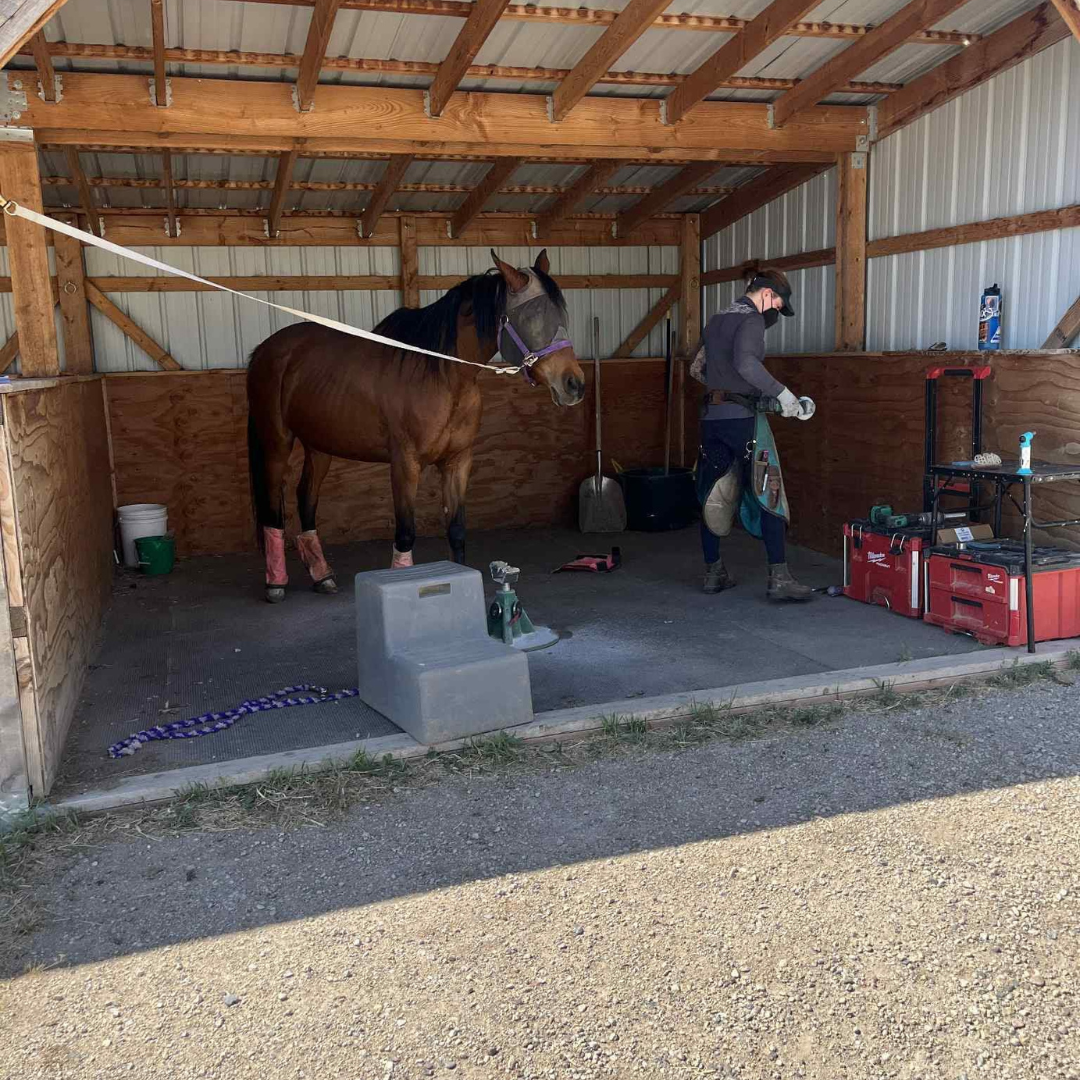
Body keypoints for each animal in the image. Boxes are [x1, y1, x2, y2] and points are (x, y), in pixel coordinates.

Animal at [246, 249, 585, 602]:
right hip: (276, 441)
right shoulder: (405, 464)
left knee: (305, 496)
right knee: (272, 502)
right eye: (532, 315)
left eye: (561, 312)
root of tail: (265, 350)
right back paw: (275, 582)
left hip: (320, 445)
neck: (442, 376)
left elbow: (457, 531)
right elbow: (406, 533)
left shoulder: (457, 462)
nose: (574, 384)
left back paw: (322, 575)